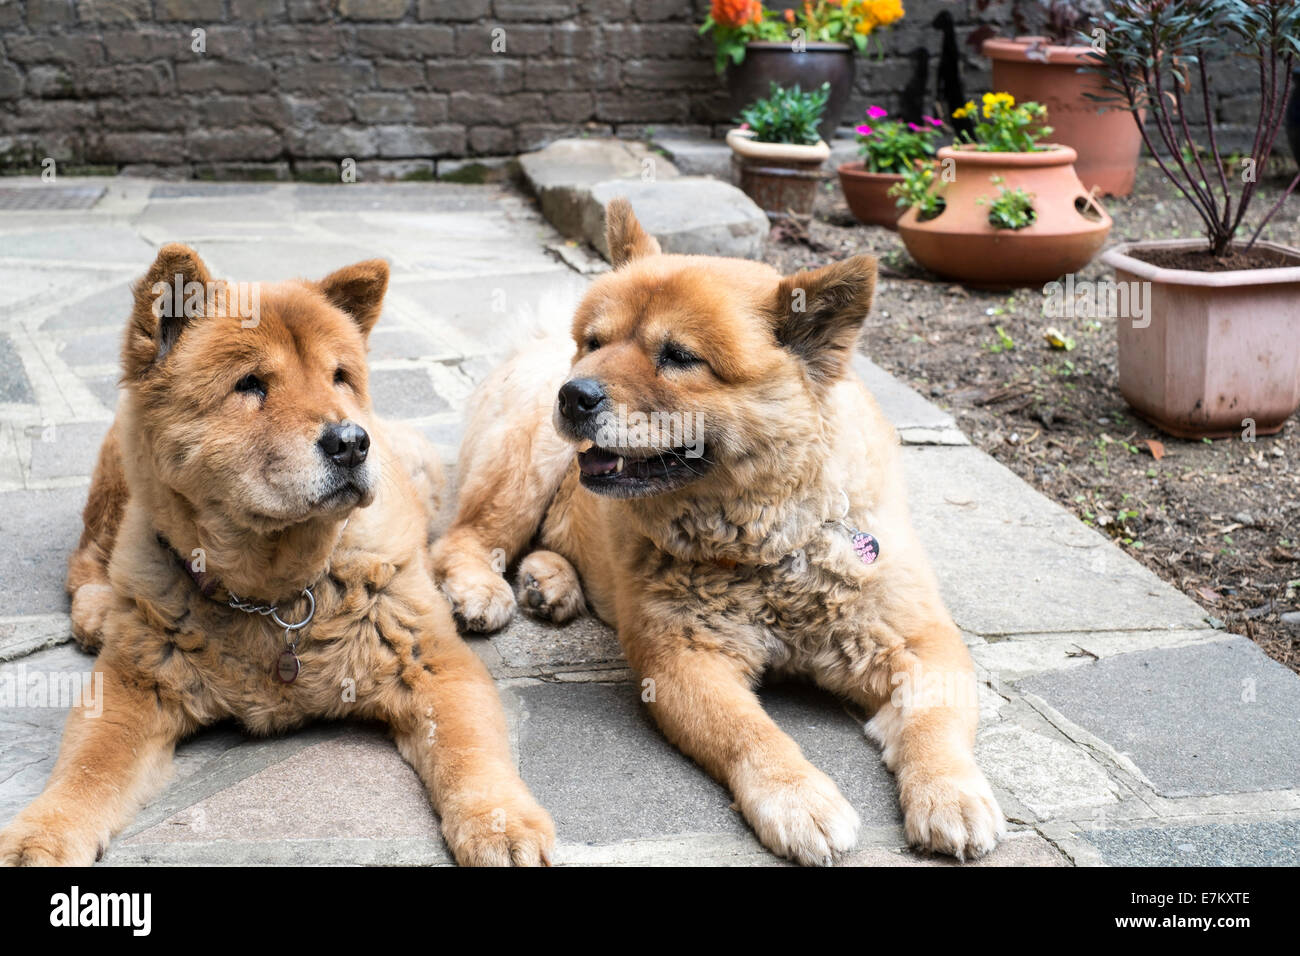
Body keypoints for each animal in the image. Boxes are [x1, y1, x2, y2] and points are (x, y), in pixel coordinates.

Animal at [0, 244, 553, 868]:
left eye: (340, 377)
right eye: (250, 384)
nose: (352, 441)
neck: (273, 594)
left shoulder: (432, 662)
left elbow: (471, 750)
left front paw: (501, 823)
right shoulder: (131, 686)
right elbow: (86, 769)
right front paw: (41, 836)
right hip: (118, 472)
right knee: (89, 553)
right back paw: (97, 610)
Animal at [436, 200, 1003, 868]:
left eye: (679, 356)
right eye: (595, 343)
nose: (574, 393)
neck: (768, 547)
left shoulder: (919, 641)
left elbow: (934, 721)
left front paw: (951, 793)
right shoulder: (685, 659)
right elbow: (752, 733)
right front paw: (799, 799)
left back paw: (551, 583)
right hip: (526, 467)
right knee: (465, 538)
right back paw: (484, 590)